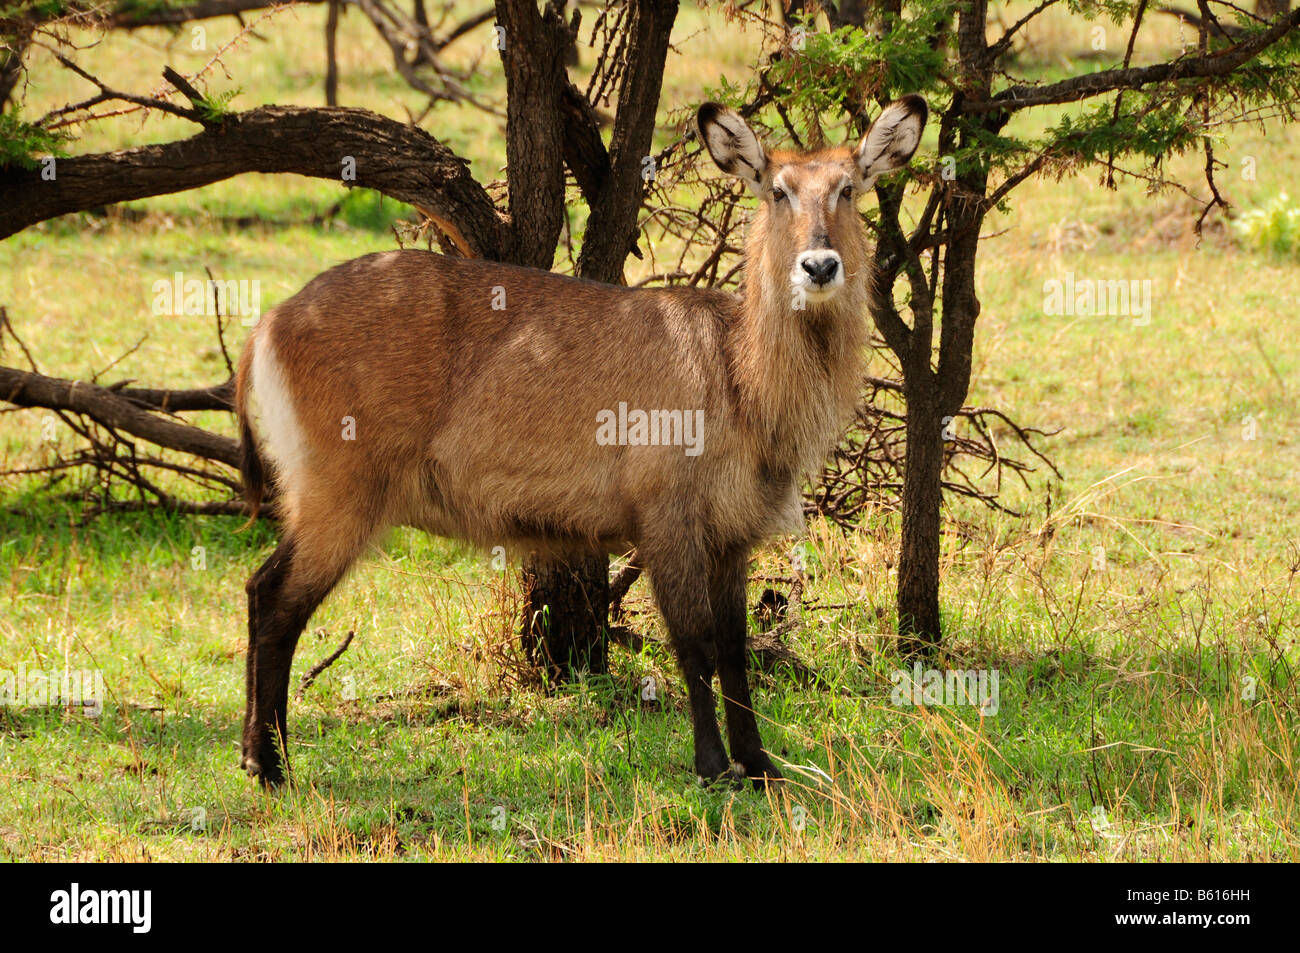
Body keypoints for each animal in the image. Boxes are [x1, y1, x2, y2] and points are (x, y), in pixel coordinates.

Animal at [233, 94, 925, 790]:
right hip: (338, 495)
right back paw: (269, 765)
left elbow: (735, 652)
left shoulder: (732, 534)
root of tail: (272, 320)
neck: (738, 373)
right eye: (778, 191)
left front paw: (759, 766)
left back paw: (258, 756)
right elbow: (695, 644)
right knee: (275, 599)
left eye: (848, 188)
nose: (819, 266)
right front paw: (710, 765)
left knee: (261, 593)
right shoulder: (666, 519)